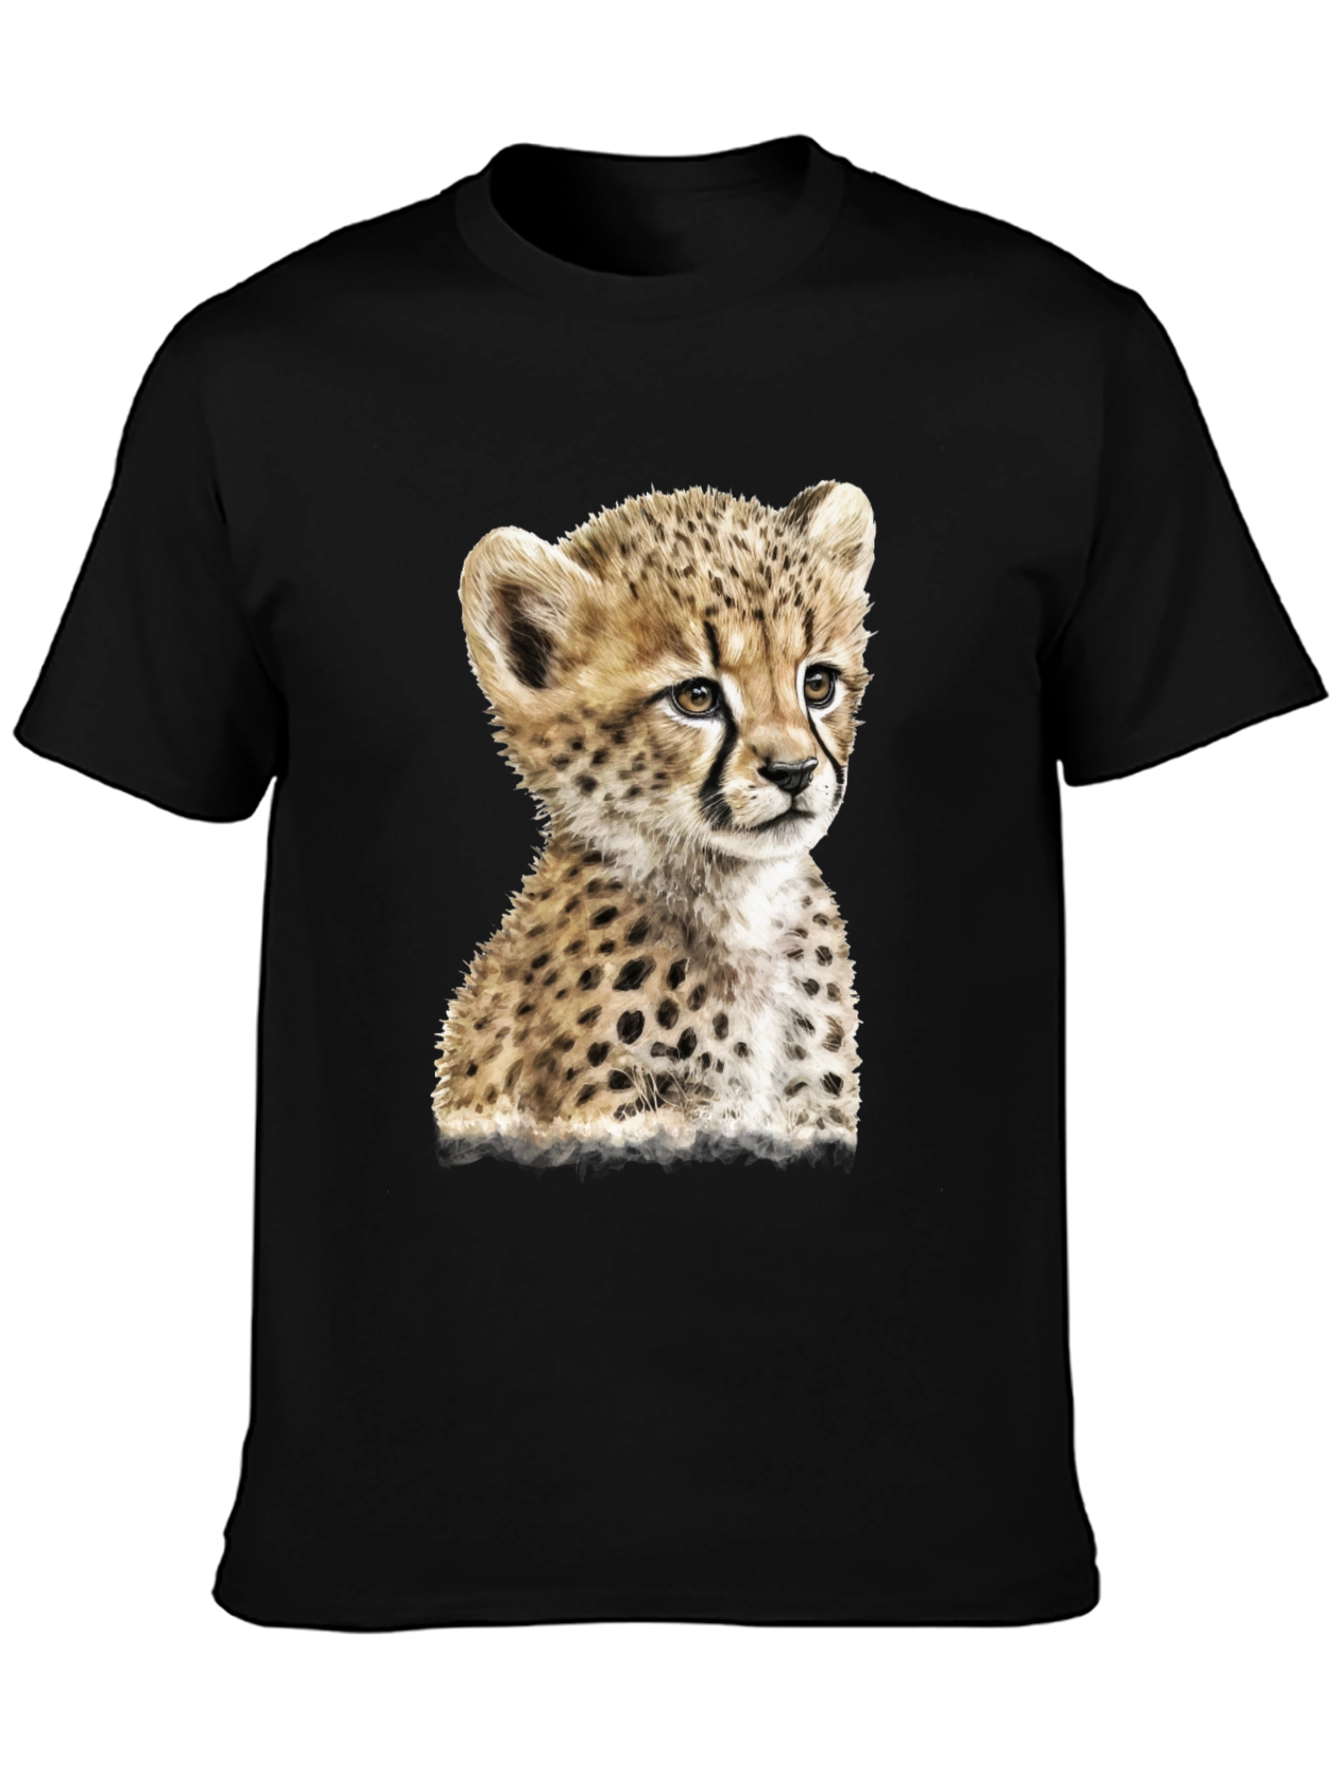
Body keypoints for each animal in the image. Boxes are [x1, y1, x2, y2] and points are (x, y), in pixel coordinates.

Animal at [432, 480, 875, 1162]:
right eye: (696, 697)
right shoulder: (618, 1116)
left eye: (818, 684)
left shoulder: (813, 1110)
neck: (739, 901)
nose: (795, 771)